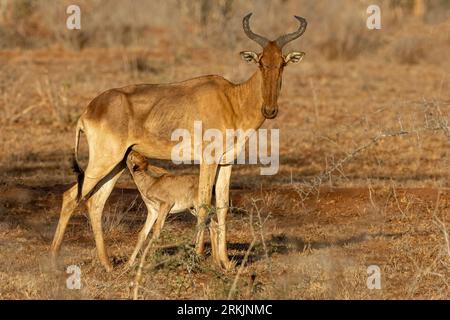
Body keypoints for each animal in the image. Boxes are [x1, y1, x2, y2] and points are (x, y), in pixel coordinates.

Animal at [51, 13, 308, 272]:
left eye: (282, 63)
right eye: (261, 62)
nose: (270, 110)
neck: (231, 99)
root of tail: (89, 110)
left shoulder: (226, 162)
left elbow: (222, 206)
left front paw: (226, 263)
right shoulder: (208, 159)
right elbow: (204, 203)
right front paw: (198, 256)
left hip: (117, 164)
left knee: (95, 202)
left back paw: (108, 264)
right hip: (104, 160)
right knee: (71, 196)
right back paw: (53, 258)